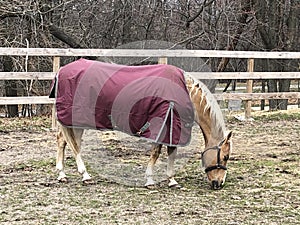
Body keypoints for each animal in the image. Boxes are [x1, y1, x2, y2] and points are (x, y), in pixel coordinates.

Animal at [51, 58, 232, 190]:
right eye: (225, 157)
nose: (219, 183)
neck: (185, 92)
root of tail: (62, 71)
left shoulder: (172, 128)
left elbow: (170, 152)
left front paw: (171, 180)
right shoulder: (164, 125)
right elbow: (156, 153)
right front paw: (151, 181)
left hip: (76, 122)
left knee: (65, 142)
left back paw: (62, 175)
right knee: (71, 145)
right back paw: (85, 176)